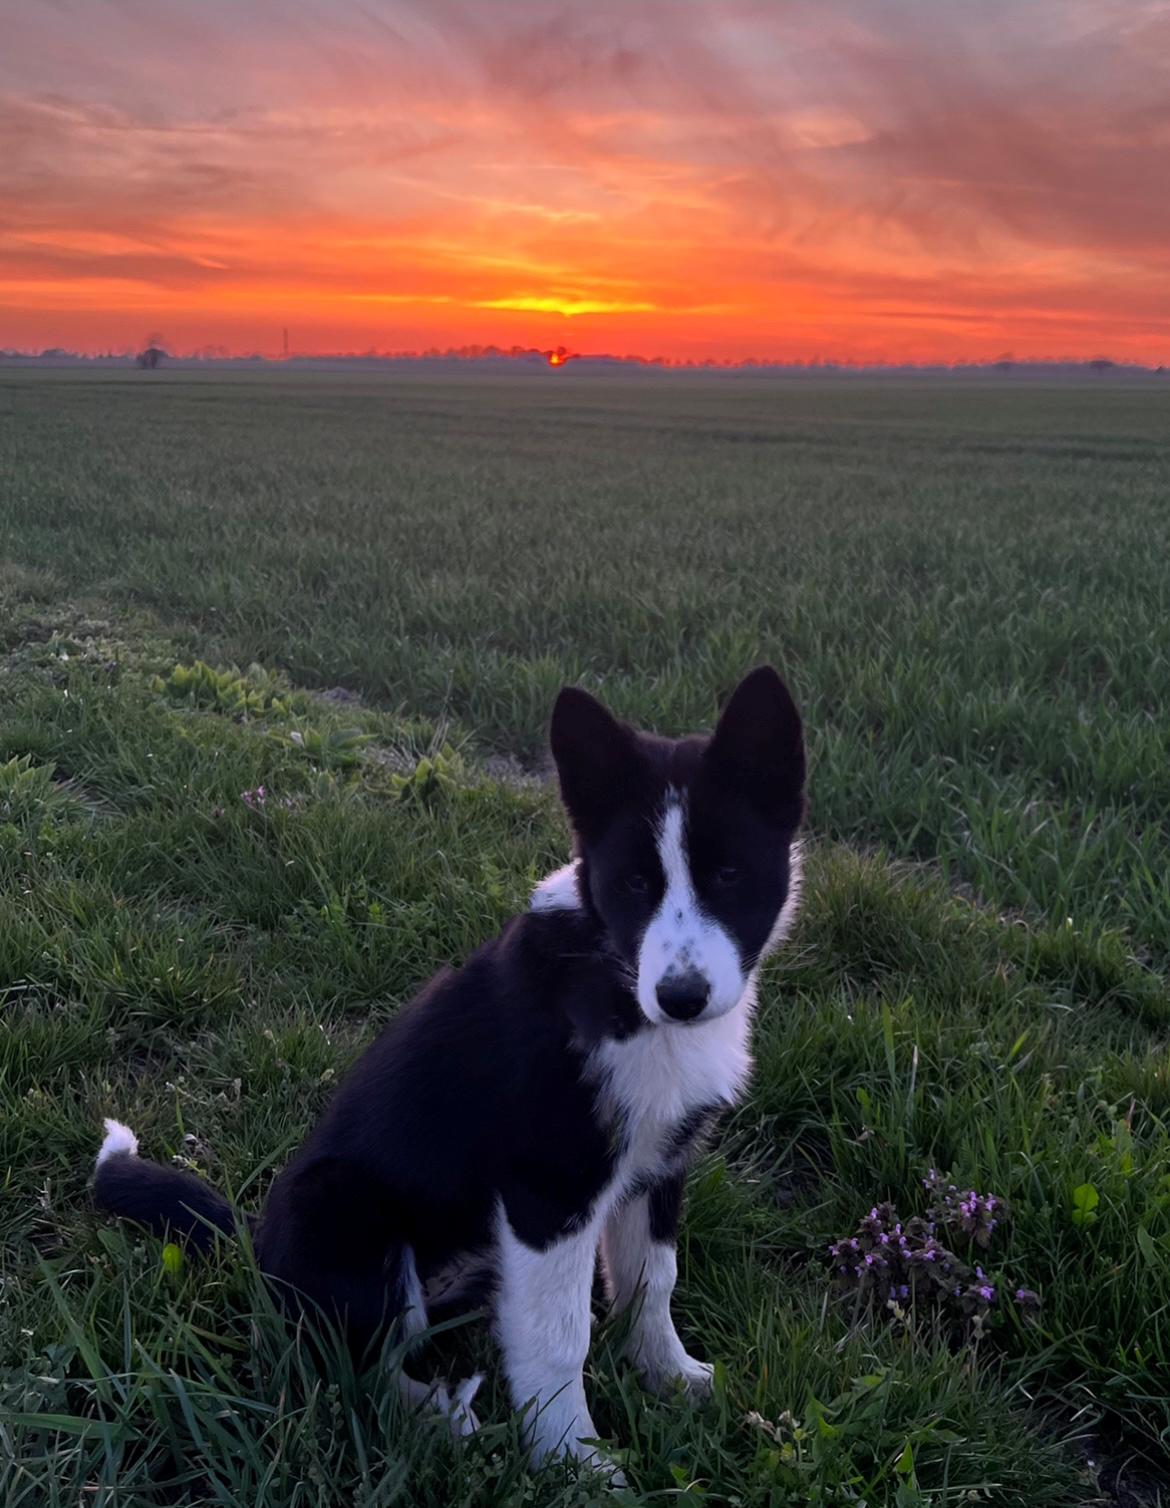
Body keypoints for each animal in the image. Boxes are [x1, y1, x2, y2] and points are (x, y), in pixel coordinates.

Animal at [93, 669, 802, 1471]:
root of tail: (257, 1241)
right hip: (342, 1207)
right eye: (632, 886)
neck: (616, 982)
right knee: (348, 1365)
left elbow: (651, 1283)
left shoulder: (659, 1164)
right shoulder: (547, 1191)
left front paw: (671, 1379)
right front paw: (576, 1463)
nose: (682, 999)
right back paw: (436, 1416)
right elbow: (560, 1339)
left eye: (729, 874)